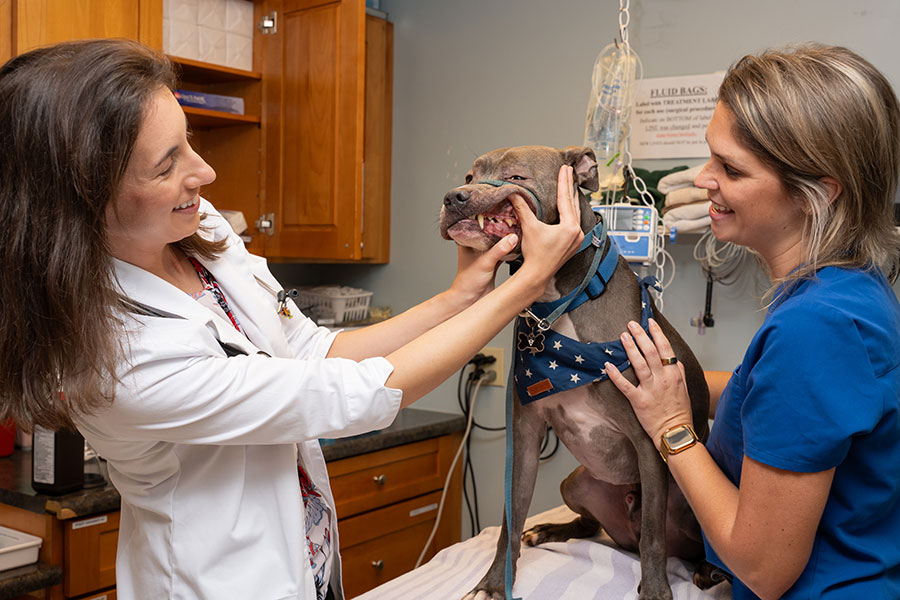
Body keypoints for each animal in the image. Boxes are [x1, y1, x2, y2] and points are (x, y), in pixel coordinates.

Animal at [440, 145, 710, 600]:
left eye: (517, 176)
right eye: (469, 176)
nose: (453, 197)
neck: (561, 299)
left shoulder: (649, 440)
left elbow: (653, 537)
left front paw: (656, 591)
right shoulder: (525, 436)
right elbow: (511, 520)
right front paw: (495, 584)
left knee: (671, 539)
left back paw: (708, 570)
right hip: (577, 482)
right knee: (589, 526)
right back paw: (549, 529)